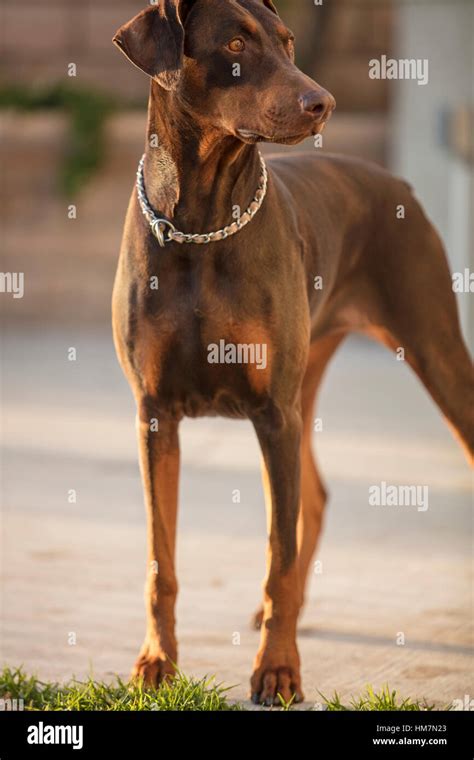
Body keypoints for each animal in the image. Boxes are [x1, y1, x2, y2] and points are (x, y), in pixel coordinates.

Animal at [112, 0, 474, 708]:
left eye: (287, 42)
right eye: (234, 44)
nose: (323, 102)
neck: (202, 221)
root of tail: (398, 183)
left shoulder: (271, 413)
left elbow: (277, 552)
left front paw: (278, 671)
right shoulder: (154, 413)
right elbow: (161, 557)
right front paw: (157, 661)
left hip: (434, 351)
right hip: (304, 384)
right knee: (316, 495)